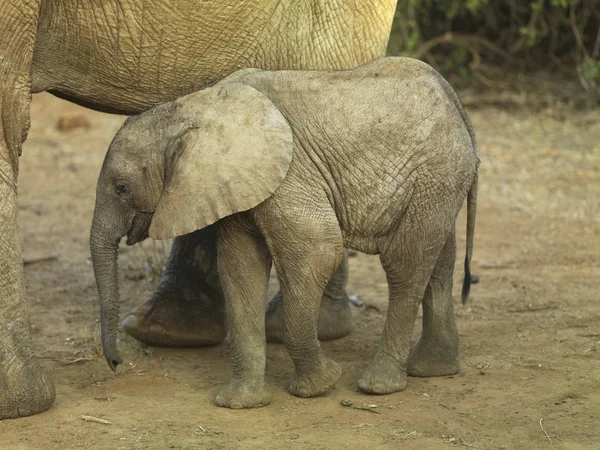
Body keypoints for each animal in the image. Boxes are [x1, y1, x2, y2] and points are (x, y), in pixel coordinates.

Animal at [90, 56, 478, 408]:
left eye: (122, 187)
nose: (116, 363)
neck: (191, 106)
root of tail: (454, 101)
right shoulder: (237, 186)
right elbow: (240, 270)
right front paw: (239, 403)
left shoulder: (291, 176)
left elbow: (317, 252)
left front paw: (320, 386)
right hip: (439, 183)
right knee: (439, 263)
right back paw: (432, 369)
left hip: (434, 172)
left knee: (404, 264)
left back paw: (378, 386)